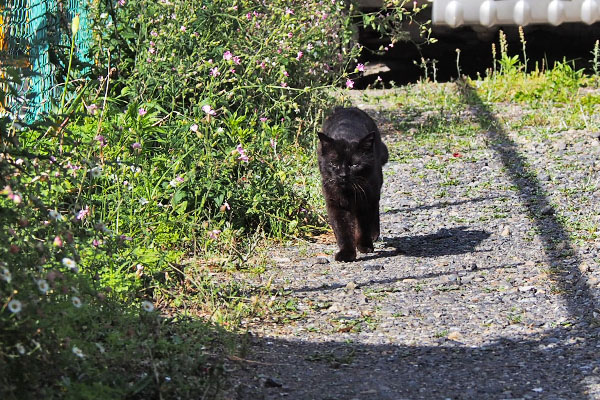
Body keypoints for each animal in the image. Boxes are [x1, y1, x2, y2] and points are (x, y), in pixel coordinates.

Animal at [318, 107, 390, 262]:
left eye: (354, 165)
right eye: (334, 164)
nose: (343, 175)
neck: (348, 192)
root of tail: (347, 108)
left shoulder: (366, 199)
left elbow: (364, 225)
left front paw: (364, 246)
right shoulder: (335, 204)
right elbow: (342, 230)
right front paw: (346, 253)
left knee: (374, 211)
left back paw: (374, 235)